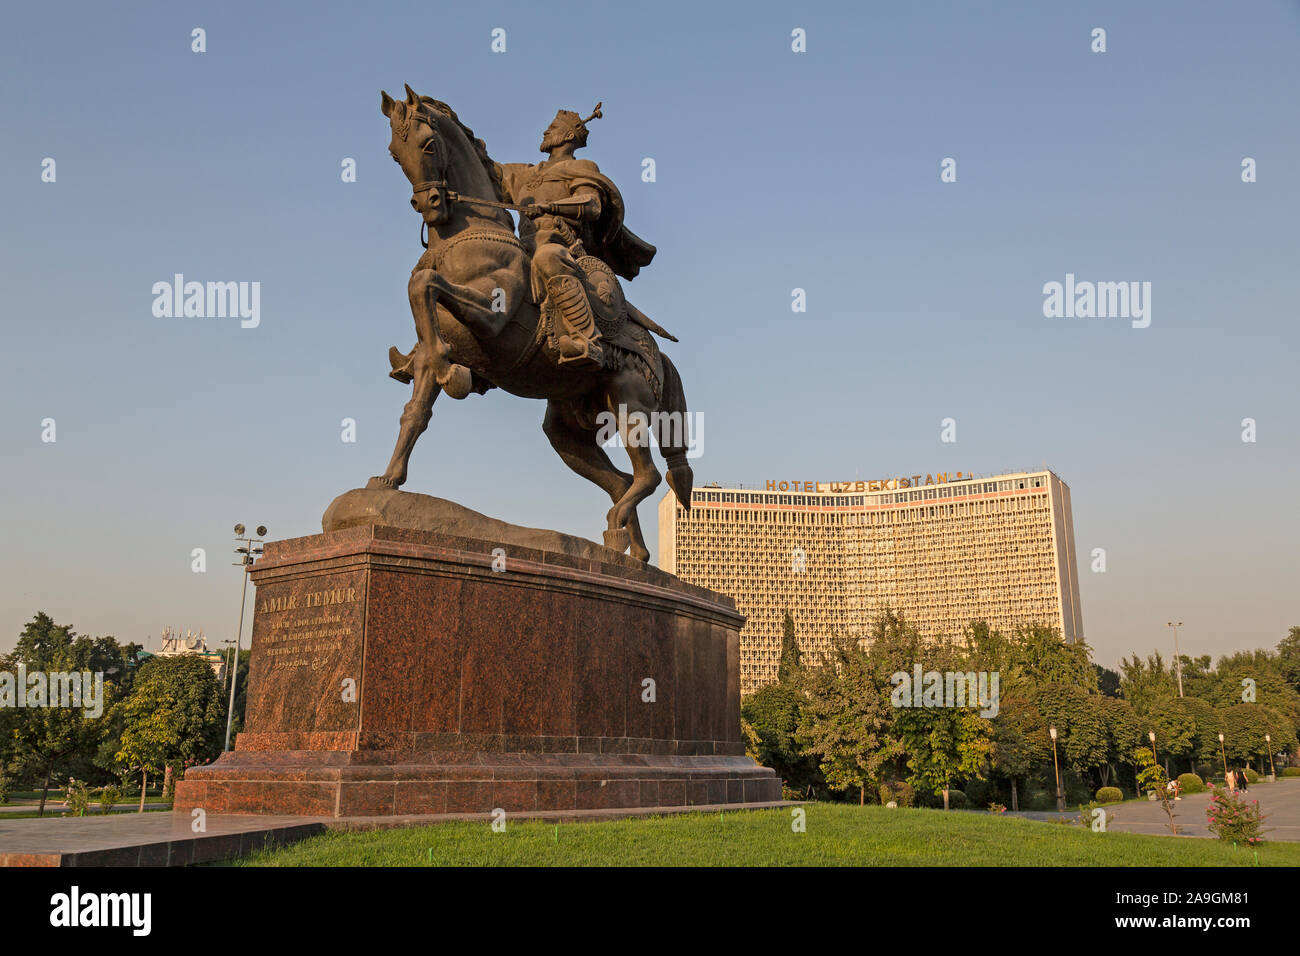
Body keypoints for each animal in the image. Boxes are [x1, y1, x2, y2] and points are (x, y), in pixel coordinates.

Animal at [366, 85, 691, 564]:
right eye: (394, 152)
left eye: (427, 144)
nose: (428, 205)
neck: (463, 238)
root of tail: (658, 353)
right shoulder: (431, 347)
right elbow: (416, 411)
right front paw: (387, 480)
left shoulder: (493, 319)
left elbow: (425, 284)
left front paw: (453, 374)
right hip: (569, 431)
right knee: (620, 482)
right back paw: (629, 554)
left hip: (630, 405)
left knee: (645, 476)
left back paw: (619, 536)